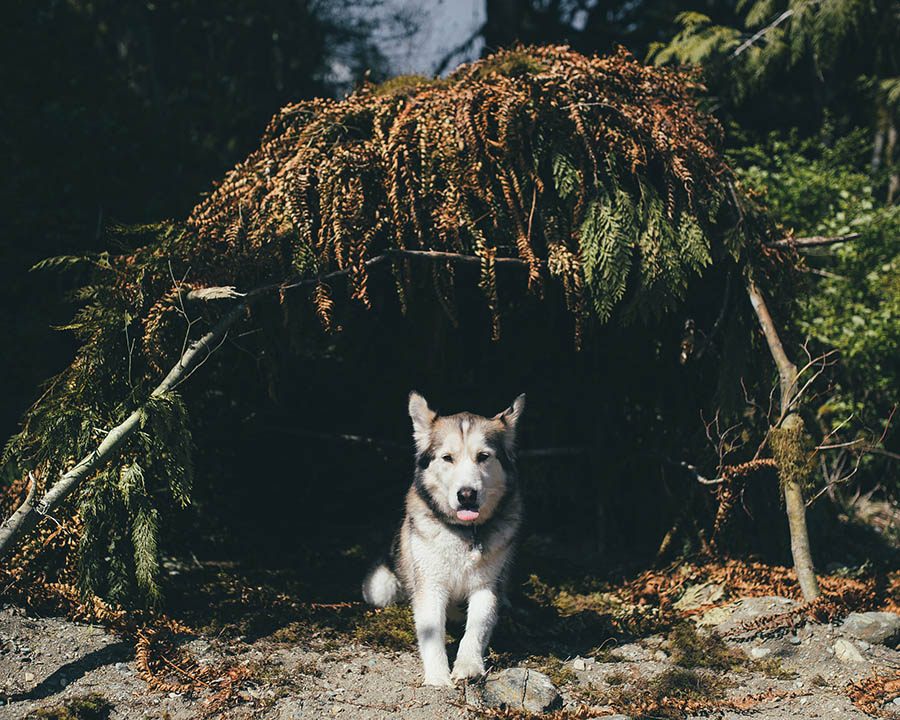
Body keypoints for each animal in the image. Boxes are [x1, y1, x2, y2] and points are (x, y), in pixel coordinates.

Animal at [362, 394, 524, 688]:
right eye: (447, 458)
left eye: (483, 456)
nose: (467, 494)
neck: (466, 534)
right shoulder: (430, 585)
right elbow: (432, 632)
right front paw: (437, 676)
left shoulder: (485, 588)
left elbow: (476, 629)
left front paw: (468, 666)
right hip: (380, 587)